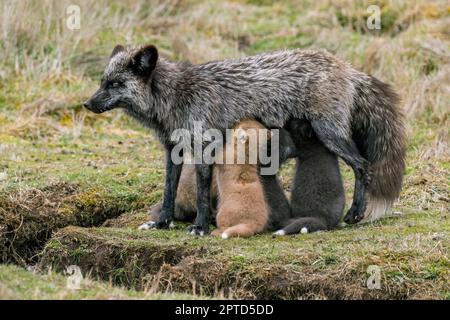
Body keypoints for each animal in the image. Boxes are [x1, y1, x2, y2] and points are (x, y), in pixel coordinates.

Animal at [83, 44, 404, 235]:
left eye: (116, 84)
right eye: (102, 82)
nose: (87, 104)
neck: (175, 97)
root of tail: (346, 67)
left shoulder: (203, 148)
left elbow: (201, 195)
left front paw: (200, 227)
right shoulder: (173, 151)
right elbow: (168, 191)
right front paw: (162, 222)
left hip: (329, 132)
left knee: (363, 166)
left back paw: (355, 213)